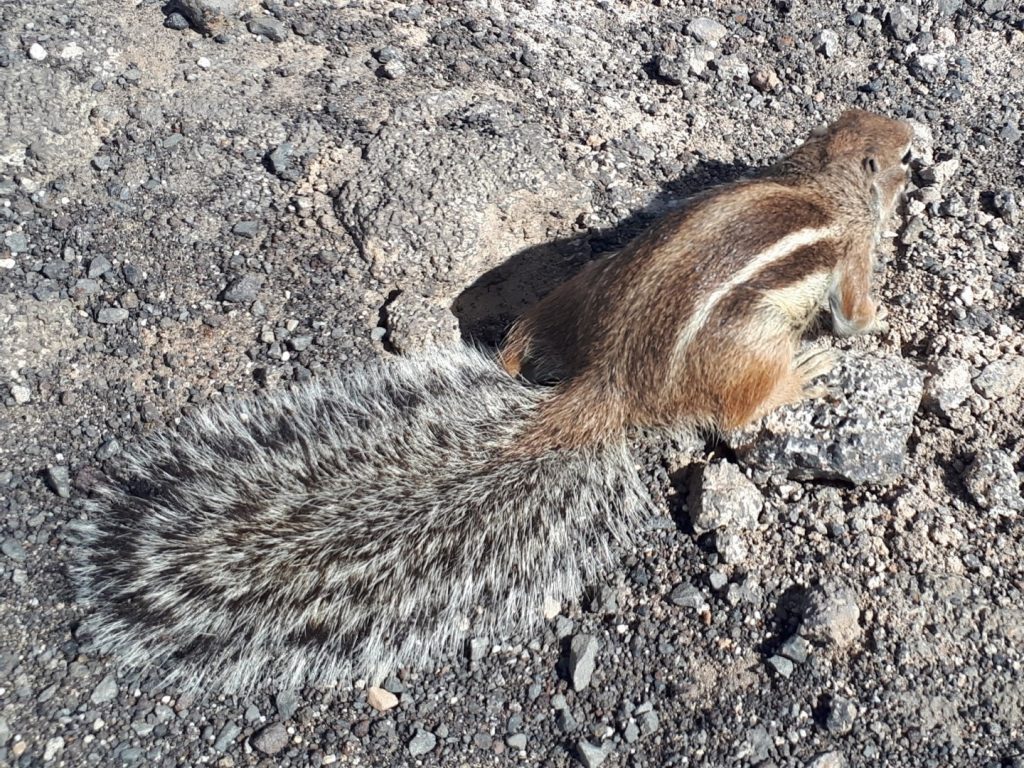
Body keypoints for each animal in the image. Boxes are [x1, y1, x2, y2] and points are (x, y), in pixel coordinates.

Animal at [75, 111, 917, 696]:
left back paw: (512, 352)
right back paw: (801, 372)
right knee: (740, 411)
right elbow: (854, 310)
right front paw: (881, 321)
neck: (821, 179)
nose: (915, 131)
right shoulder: (851, 255)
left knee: (531, 331)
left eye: (858, 115)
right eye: (902, 157)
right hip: (742, 355)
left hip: (585, 285)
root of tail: (607, 382)